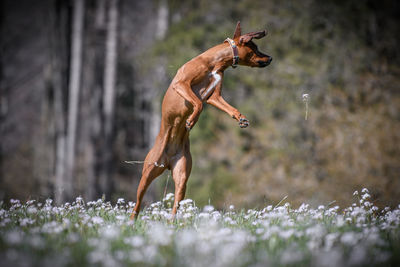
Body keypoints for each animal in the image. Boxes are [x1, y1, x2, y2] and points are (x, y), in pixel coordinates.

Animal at [131, 21, 272, 220]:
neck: (215, 62)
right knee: (137, 204)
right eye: (256, 48)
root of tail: (167, 161)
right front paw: (191, 120)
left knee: (175, 204)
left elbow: (227, 107)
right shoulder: (182, 84)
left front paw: (241, 118)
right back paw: (131, 221)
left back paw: (172, 223)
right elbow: (198, 103)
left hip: (182, 177)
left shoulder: (215, 97)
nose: (271, 58)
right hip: (148, 174)